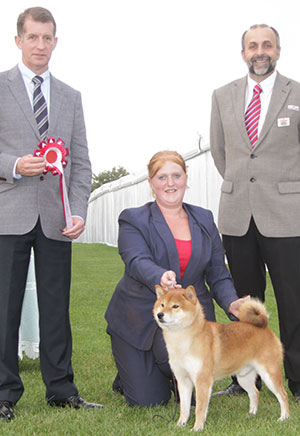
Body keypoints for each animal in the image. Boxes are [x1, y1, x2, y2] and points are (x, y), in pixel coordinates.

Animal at [154, 284, 290, 430]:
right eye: (162, 304)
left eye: (175, 306)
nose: (160, 314)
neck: (182, 341)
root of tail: (265, 328)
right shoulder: (183, 380)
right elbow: (184, 408)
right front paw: (180, 425)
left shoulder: (202, 380)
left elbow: (200, 408)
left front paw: (197, 428)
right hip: (244, 378)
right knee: (254, 393)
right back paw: (251, 414)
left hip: (269, 374)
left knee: (283, 395)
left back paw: (284, 418)